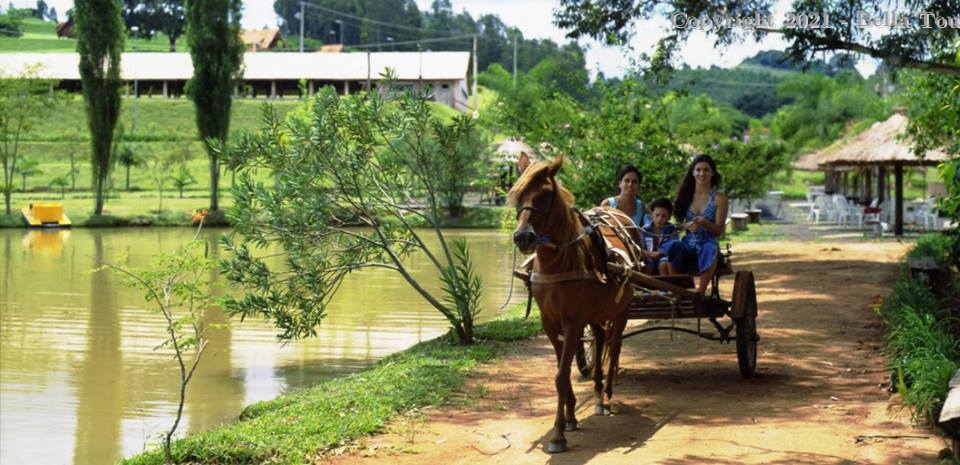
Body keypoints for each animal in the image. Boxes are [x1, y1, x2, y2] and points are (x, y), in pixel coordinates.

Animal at [510, 153, 636, 454]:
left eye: (546, 194)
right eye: (517, 193)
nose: (523, 237)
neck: (560, 262)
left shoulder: (573, 321)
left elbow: (560, 375)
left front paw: (557, 435)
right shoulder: (550, 322)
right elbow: (563, 373)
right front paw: (569, 419)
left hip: (622, 308)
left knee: (615, 345)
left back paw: (608, 395)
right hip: (596, 312)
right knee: (601, 338)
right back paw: (598, 394)